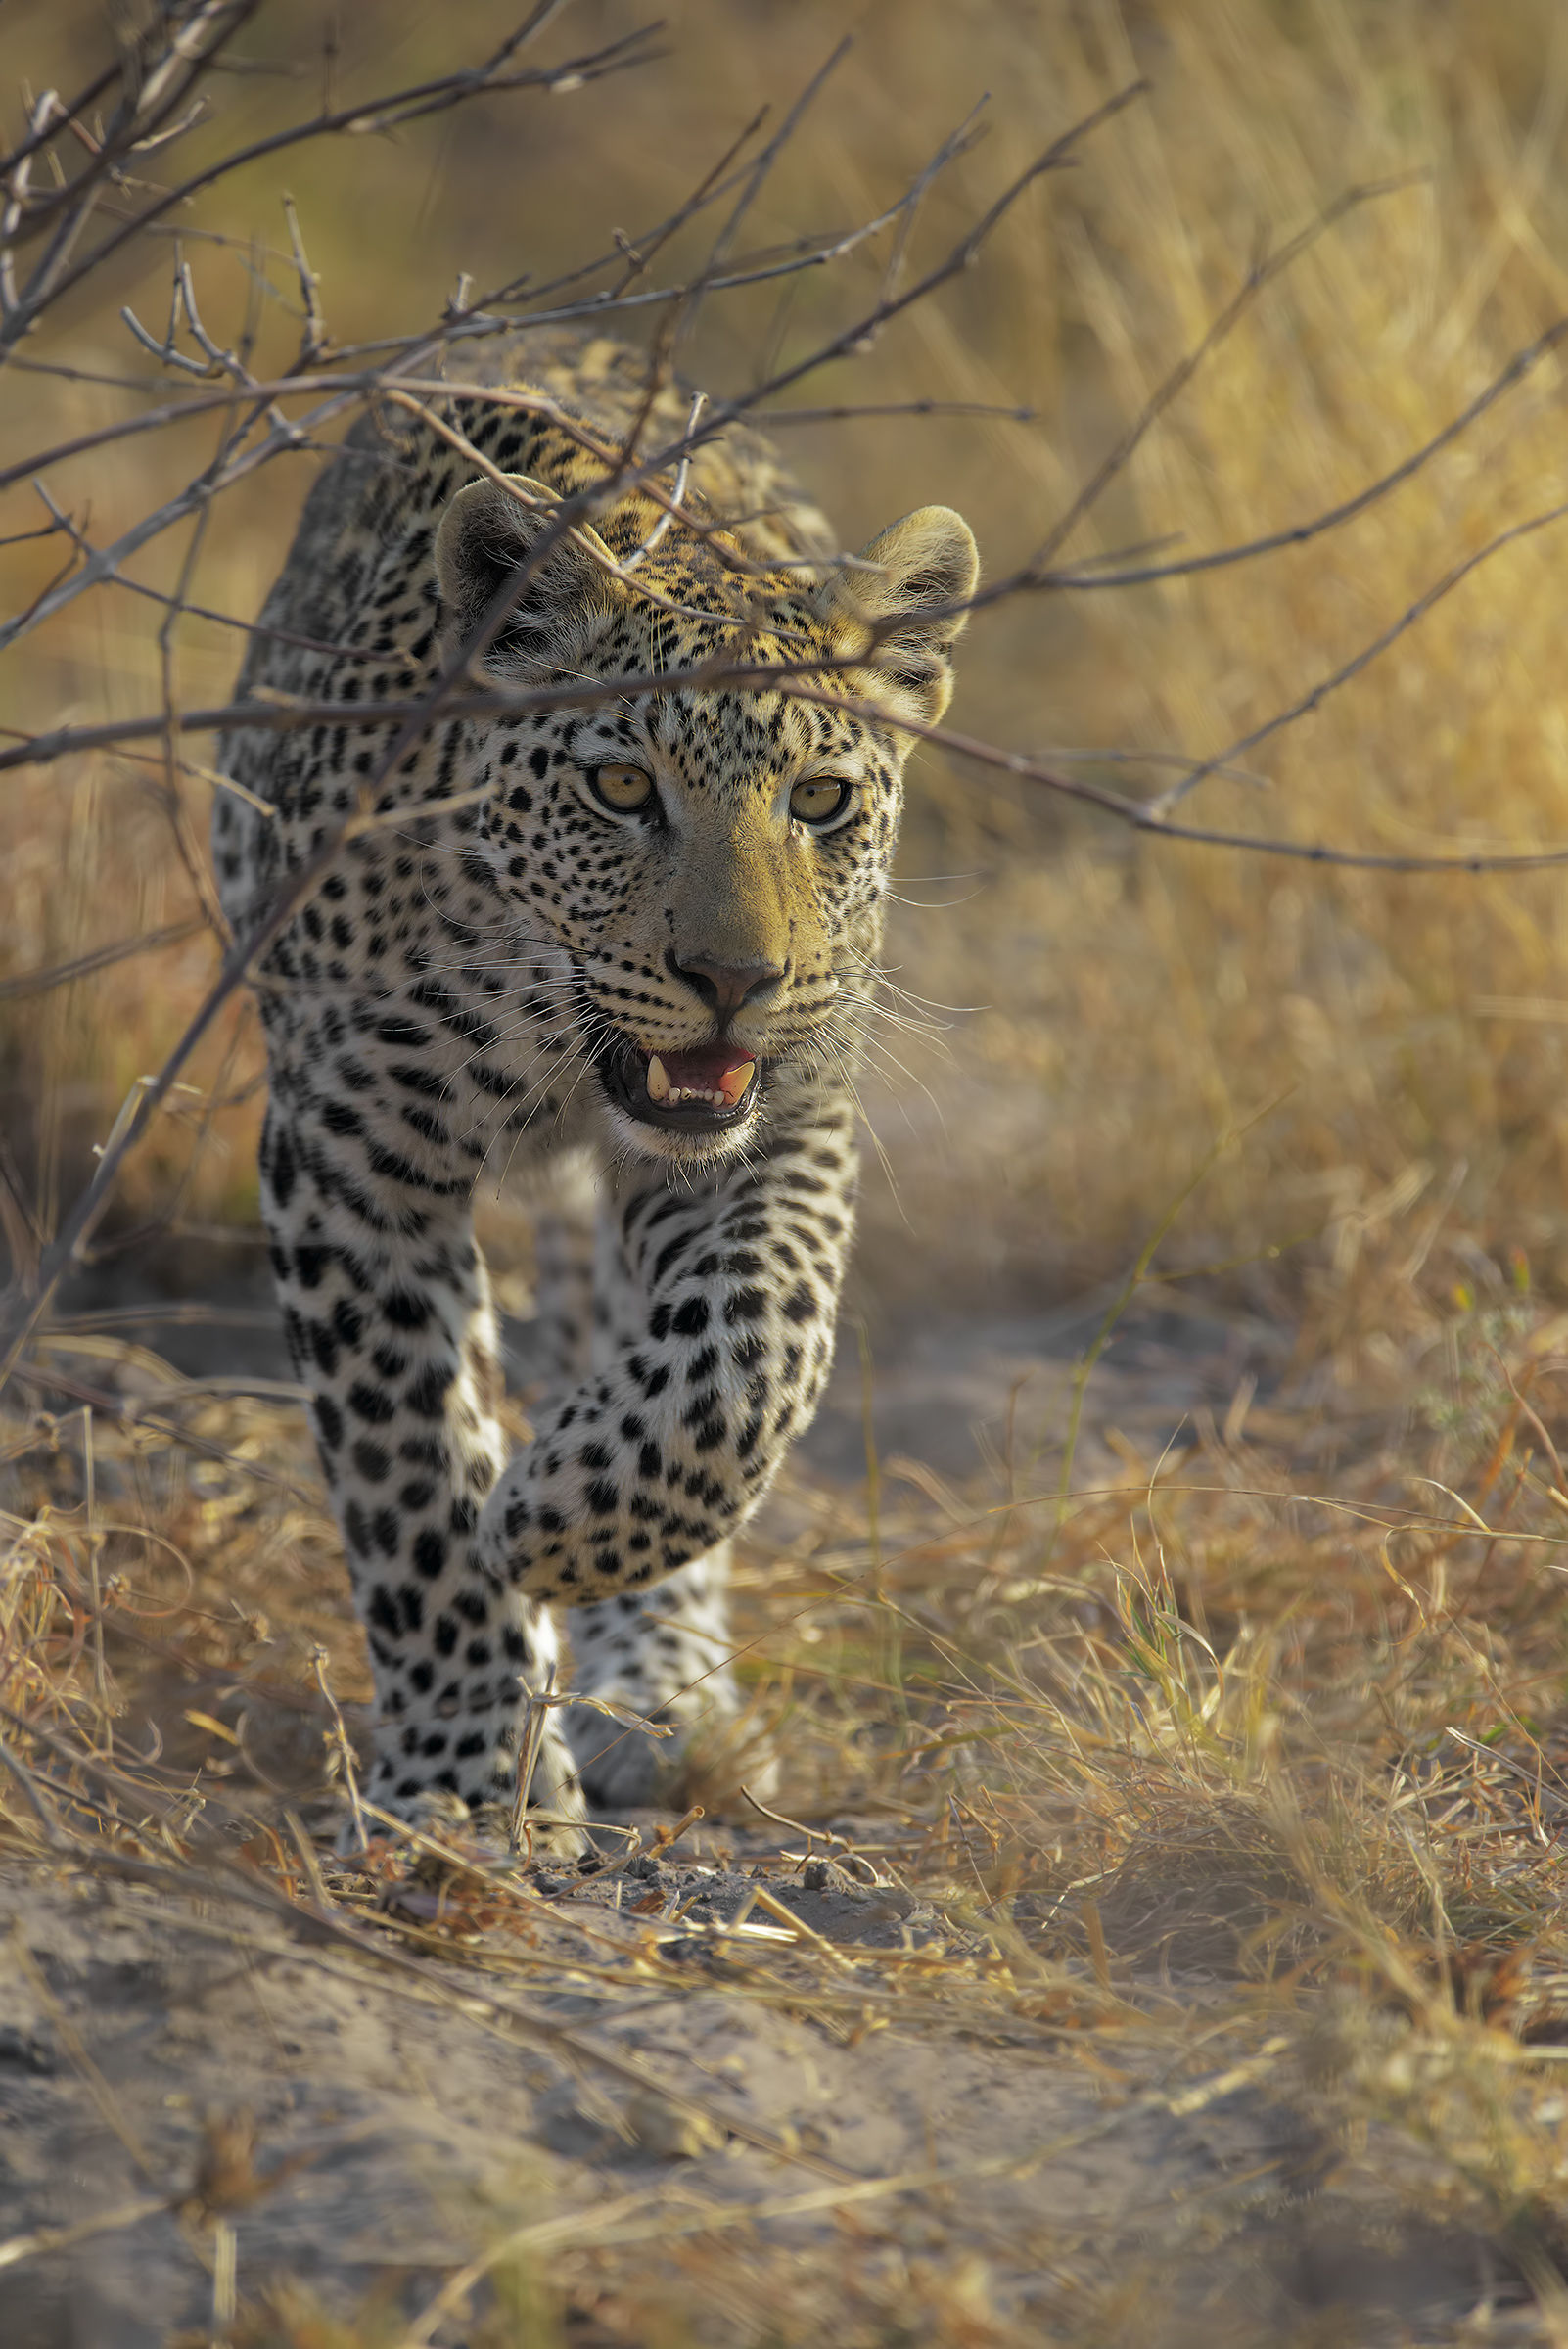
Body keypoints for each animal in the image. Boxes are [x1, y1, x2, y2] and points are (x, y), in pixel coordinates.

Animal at [212, 327, 977, 1843]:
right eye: (621, 789)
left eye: (820, 801)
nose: (733, 975)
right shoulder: (346, 1151)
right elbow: (407, 1467)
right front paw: (460, 1782)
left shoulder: (784, 1116)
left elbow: (750, 1359)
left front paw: (552, 1520)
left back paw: (660, 1684)